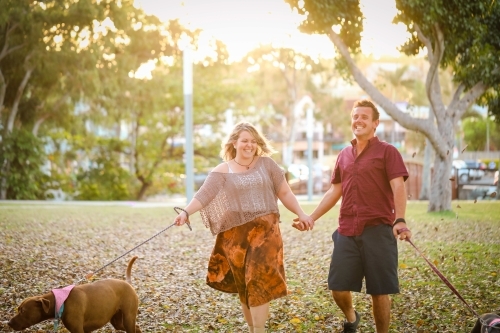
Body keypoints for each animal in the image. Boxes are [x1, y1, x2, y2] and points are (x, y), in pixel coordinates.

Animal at [7, 255, 141, 330]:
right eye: (18, 309)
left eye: (23, 311)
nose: (8, 323)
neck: (61, 300)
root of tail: (128, 284)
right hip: (118, 321)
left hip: (128, 317)